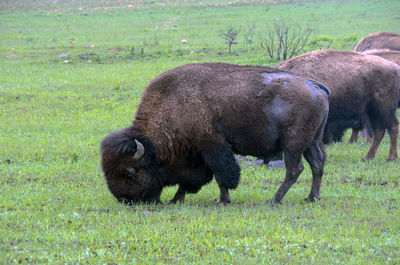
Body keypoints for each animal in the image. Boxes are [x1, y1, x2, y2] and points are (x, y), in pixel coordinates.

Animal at [101, 62, 330, 204]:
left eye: (130, 171)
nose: (124, 199)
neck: (173, 104)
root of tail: (314, 85)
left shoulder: (212, 146)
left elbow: (222, 174)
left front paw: (223, 200)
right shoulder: (197, 155)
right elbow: (192, 180)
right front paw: (176, 199)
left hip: (293, 146)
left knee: (295, 169)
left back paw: (274, 200)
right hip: (311, 142)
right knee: (317, 165)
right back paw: (312, 197)